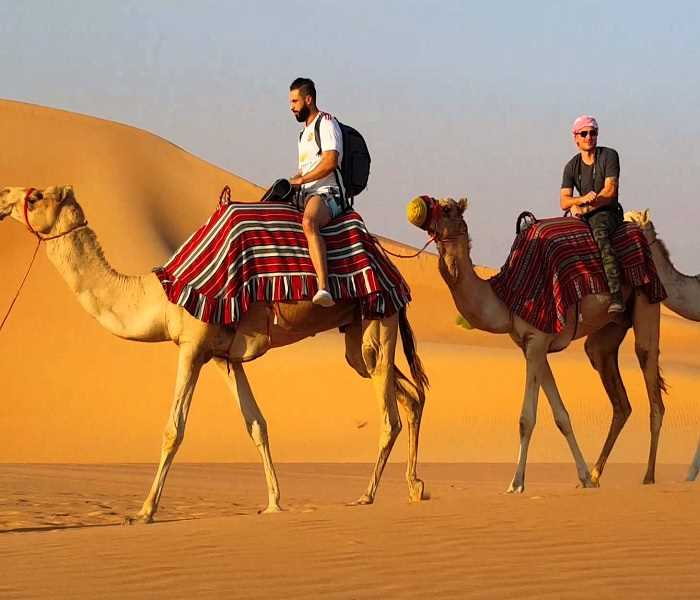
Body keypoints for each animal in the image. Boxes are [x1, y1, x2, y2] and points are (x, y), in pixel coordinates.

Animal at [0, 185, 430, 524]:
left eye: (36, 196)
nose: (4, 195)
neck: (163, 295)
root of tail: (389, 264)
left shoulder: (192, 345)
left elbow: (174, 429)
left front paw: (144, 511)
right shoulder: (226, 357)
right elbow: (256, 424)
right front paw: (273, 503)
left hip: (379, 318)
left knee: (390, 414)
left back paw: (367, 495)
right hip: (359, 333)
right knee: (409, 394)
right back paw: (415, 487)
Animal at [408, 197, 664, 492]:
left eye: (447, 208)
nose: (419, 207)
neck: (505, 297)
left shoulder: (537, 341)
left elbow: (526, 418)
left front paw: (516, 483)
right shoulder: (533, 347)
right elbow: (561, 415)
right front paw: (584, 477)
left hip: (647, 297)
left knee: (650, 373)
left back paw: (649, 476)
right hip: (609, 330)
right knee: (619, 397)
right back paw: (598, 474)